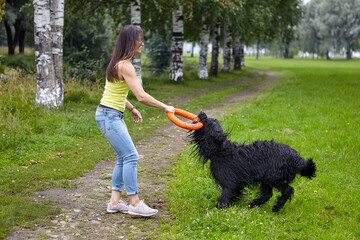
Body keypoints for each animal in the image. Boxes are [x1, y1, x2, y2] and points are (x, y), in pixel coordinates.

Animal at [188, 111, 316, 211]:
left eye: (208, 121)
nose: (202, 113)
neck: (220, 150)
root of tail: (298, 160)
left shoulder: (230, 184)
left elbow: (224, 197)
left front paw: (216, 211)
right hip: (266, 179)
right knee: (268, 193)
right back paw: (254, 204)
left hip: (274, 178)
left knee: (288, 190)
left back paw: (277, 207)